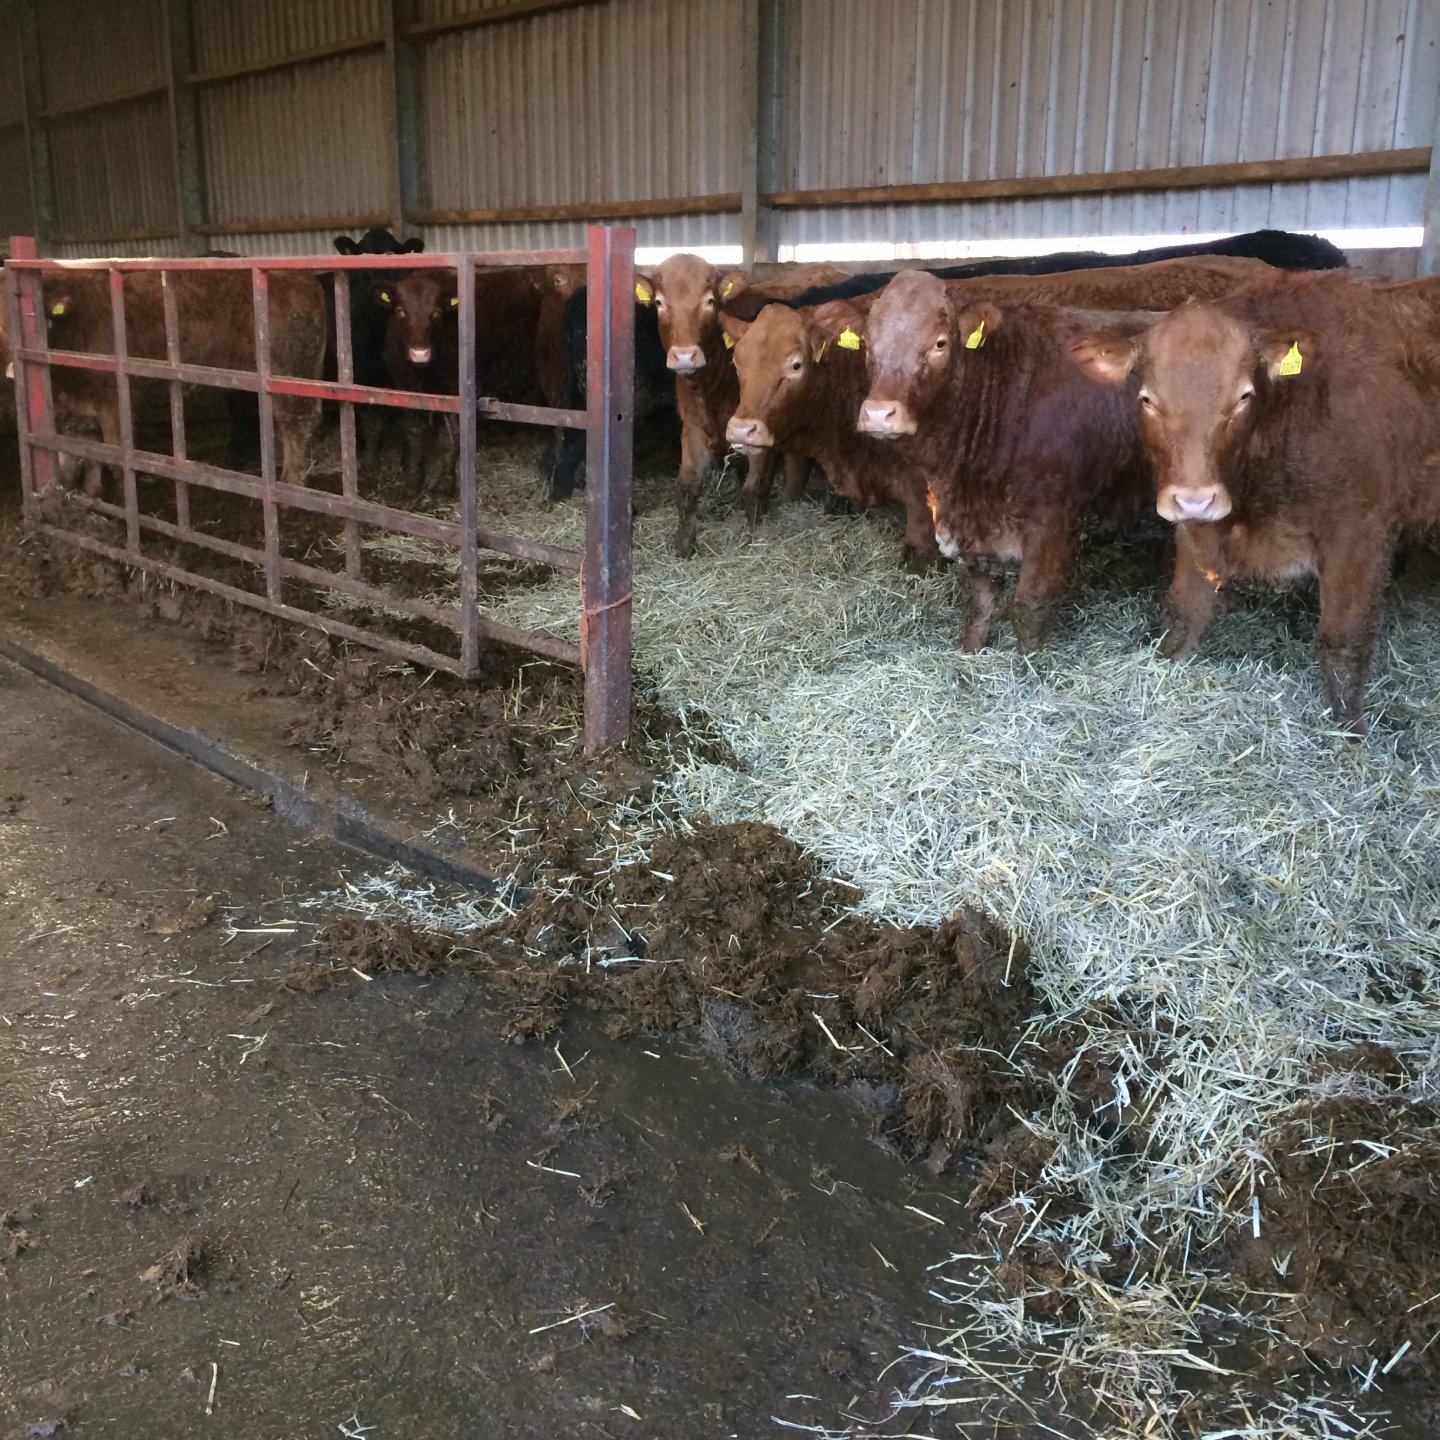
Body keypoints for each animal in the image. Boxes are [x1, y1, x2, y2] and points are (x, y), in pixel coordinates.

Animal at [30, 268, 327, 495]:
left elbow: (113, 453)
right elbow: (79, 449)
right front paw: (83, 492)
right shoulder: (75, 406)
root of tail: (301, 278)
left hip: (288, 375)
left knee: (295, 423)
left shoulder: (111, 401)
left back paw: (291, 482)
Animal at [1069, 270, 1440, 735]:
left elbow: (1343, 642)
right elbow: (1183, 613)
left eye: (1244, 396)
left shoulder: (1362, 532)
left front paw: (1349, 736)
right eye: (1147, 399)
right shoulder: (1196, 531)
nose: (1195, 500)